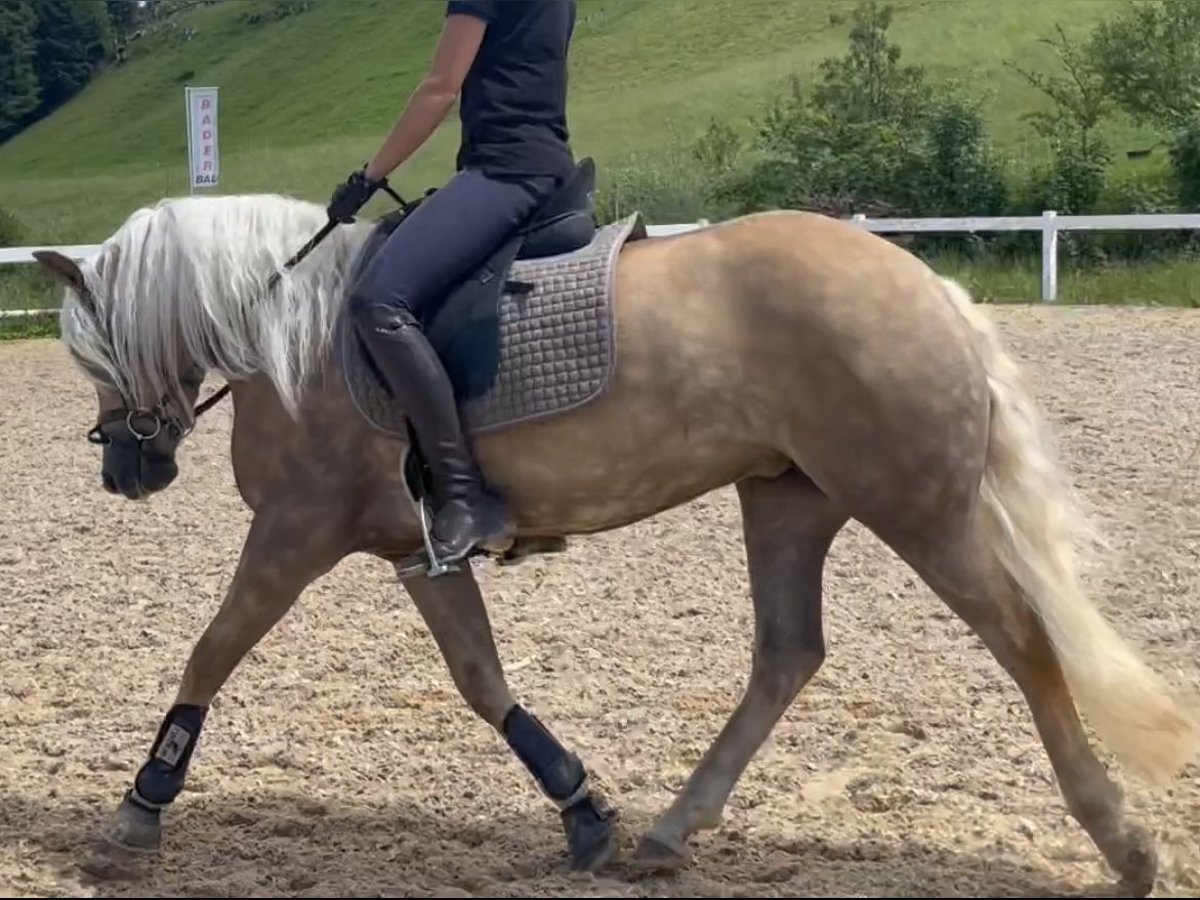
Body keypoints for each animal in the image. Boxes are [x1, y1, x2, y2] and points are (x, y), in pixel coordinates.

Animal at [32, 169, 1200, 897]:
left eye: (93, 351)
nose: (123, 470)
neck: (291, 329)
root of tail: (926, 283)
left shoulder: (297, 527)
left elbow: (212, 649)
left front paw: (138, 810)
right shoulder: (417, 551)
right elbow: (481, 679)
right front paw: (583, 811)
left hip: (912, 503)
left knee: (1024, 642)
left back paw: (1123, 842)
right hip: (789, 497)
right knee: (788, 654)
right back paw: (670, 832)